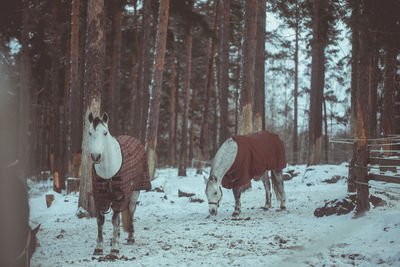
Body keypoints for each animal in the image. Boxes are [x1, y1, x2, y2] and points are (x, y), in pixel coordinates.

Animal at [89, 112, 142, 256]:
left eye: (105, 132)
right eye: (89, 132)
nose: (96, 156)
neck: (108, 172)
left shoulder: (119, 196)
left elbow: (115, 220)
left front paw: (115, 249)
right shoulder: (99, 196)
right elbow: (100, 220)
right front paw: (99, 247)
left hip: (134, 192)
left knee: (131, 210)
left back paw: (130, 237)